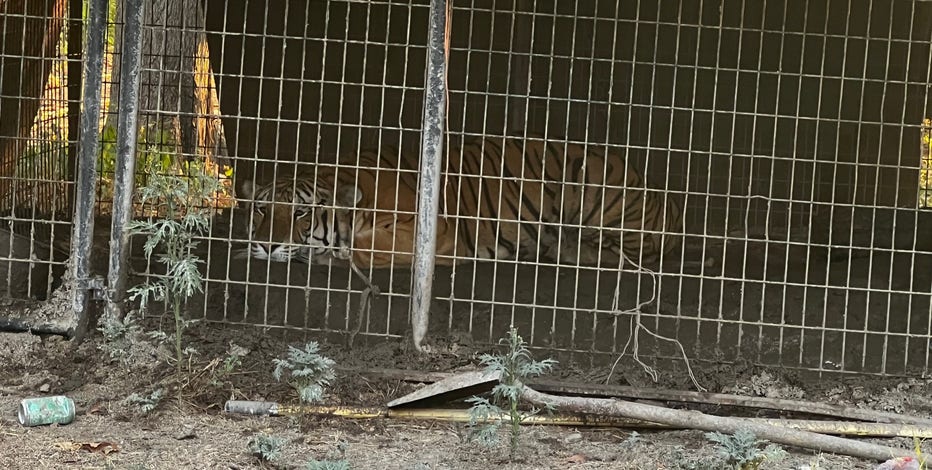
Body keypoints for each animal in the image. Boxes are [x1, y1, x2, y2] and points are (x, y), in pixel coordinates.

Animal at [239, 136, 683, 270]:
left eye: (300, 212)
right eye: (262, 208)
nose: (265, 244)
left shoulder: (432, 232)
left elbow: (367, 247)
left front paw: (329, 254)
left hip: (590, 178)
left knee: (626, 257)